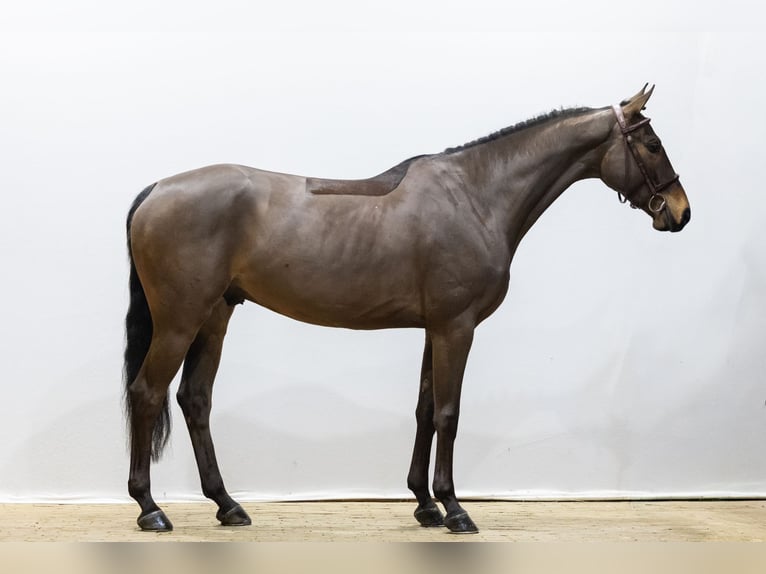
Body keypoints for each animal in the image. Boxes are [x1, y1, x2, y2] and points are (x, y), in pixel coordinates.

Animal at [124, 85, 690, 534]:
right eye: (653, 144)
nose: (681, 212)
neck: (476, 196)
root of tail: (157, 190)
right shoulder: (457, 327)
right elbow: (448, 413)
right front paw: (456, 509)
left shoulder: (433, 329)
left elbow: (424, 409)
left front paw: (424, 505)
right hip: (179, 321)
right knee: (147, 393)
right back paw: (150, 508)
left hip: (215, 317)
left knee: (195, 399)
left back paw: (227, 505)